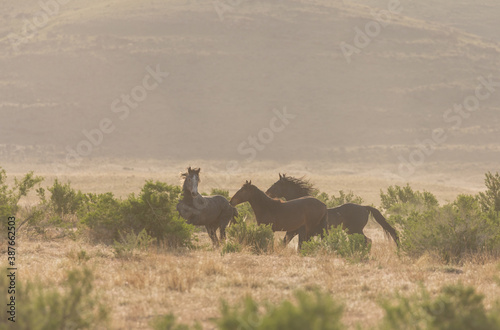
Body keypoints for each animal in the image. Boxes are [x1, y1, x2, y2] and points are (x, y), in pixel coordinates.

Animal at [266, 173, 398, 245]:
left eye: (276, 184)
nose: (267, 193)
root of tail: (364, 208)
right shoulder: (295, 232)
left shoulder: (294, 231)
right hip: (353, 231)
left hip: (355, 230)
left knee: (368, 241)